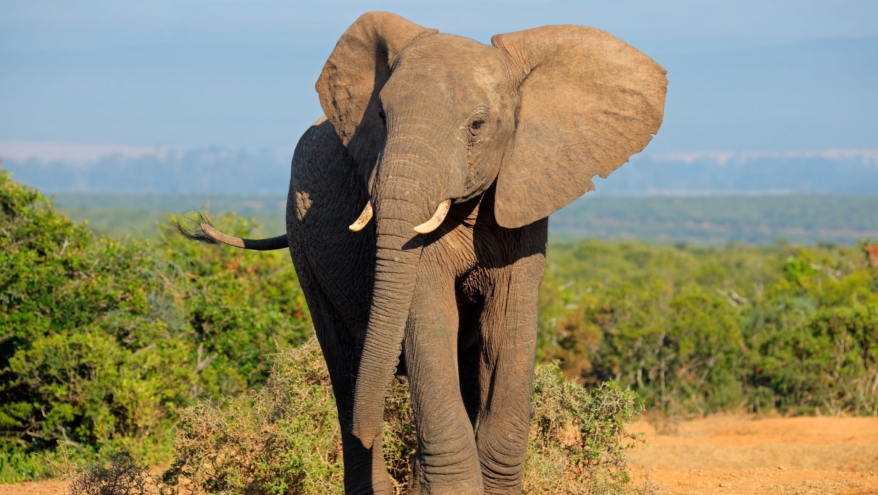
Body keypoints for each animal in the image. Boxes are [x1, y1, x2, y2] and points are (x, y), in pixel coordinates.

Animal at [186, 11, 668, 495]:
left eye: (477, 125)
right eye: (381, 115)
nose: (370, 427)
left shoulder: (526, 194)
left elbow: (507, 328)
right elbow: (430, 319)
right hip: (302, 239)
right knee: (344, 364)